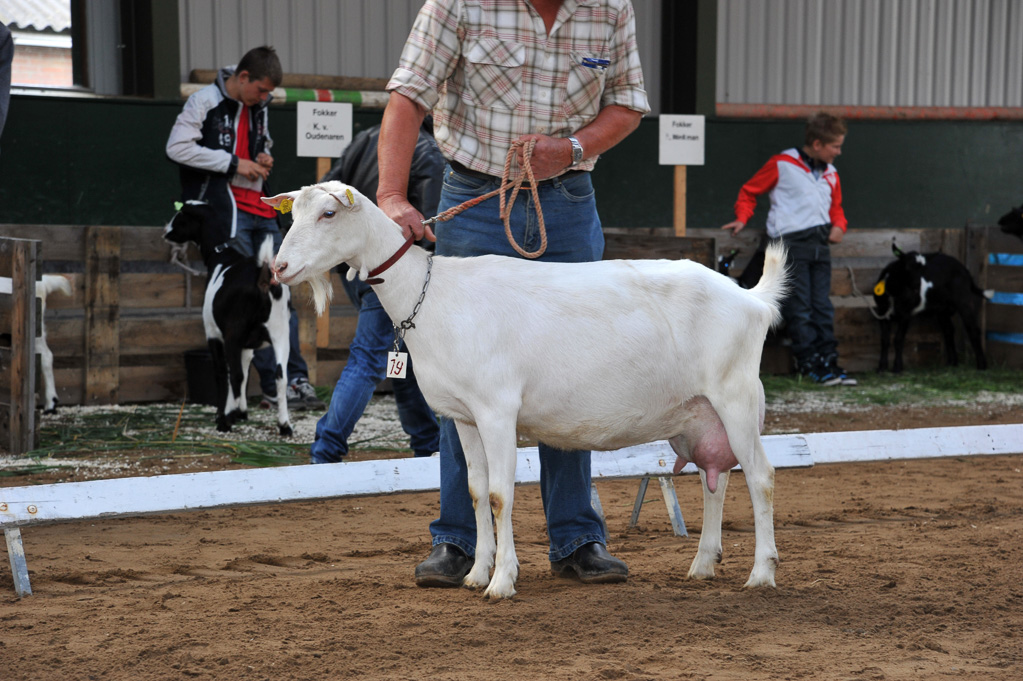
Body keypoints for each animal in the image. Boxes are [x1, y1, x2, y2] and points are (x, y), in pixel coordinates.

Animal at [162, 200, 292, 435]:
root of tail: (262, 274)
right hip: (280, 332)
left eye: (182, 214)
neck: (220, 255)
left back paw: (225, 422)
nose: (166, 231)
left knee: (235, 374)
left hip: (234, 332)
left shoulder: (214, 335)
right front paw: (241, 411)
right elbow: (247, 369)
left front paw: (225, 414)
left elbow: (223, 373)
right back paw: (284, 425)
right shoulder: (248, 344)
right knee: (280, 376)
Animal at [268, 183, 785, 597]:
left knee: (760, 476)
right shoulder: (463, 415)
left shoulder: (497, 409)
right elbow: (476, 492)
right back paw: (702, 565)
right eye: (293, 215)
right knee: (715, 478)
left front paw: (501, 581)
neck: (432, 295)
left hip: (735, 395)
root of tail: (751, 299)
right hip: (698, 413)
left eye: (328, 214)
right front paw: (476, 573)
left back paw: (761, 573)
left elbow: (500, 495)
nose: (279, 267)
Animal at [871, 242, 990, 372]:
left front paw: (897, 368)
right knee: (949, 330)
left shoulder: (905, 314)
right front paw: (881, 367)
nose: (917, 287)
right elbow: (884, 340)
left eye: (923, 269)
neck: (894, 292)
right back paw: (952, 363)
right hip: (942, 309)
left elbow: (898, 340)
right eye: (907, 267)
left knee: (973, 329)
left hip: (963, 300)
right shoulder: (882, 313)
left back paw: (981, 365)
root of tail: (964, 269)